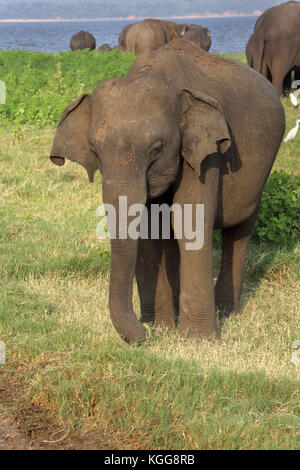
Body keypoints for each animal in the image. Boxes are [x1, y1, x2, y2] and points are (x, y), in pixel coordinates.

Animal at [50, 38, 284, 344]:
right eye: (94, 150)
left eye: (157, 149)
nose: (143, 335)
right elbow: (154, 230)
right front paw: (163, 328)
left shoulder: (207, 153)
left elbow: (190, 221)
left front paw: (197, 340)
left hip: (261, 172)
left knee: (239, 230)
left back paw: (227, 312)